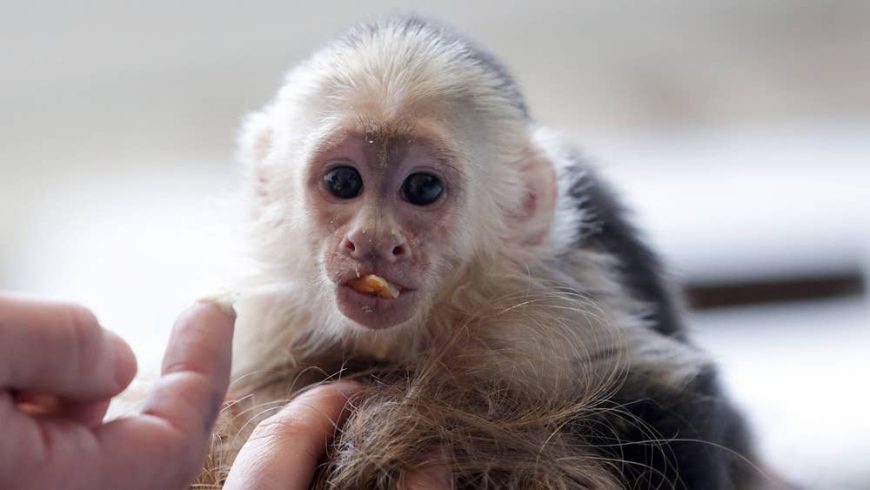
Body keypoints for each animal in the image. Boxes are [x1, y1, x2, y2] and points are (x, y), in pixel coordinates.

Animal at [196, 16, 764, 490]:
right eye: (343, 181)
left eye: (422, 188)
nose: (374, 241)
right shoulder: (276, 318)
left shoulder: (529, 315)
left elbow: (672, 398)